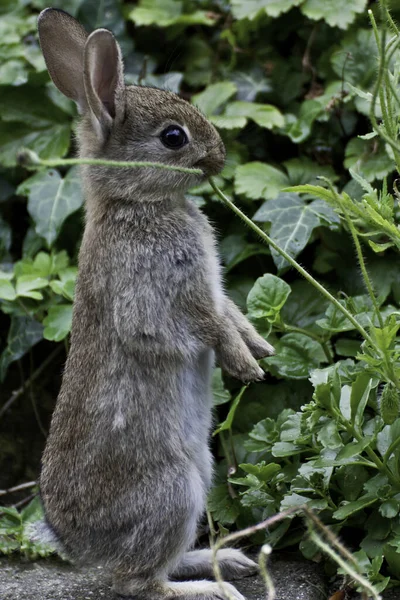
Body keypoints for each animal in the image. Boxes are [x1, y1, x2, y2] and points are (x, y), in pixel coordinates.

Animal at [37, 9, 276, 600]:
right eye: (173, 138)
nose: (219, 157)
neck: (134, 204)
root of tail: (81, 549)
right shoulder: (156, 295)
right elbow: (205, 325)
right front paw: (246, 365)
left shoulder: (213, 289)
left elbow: (230, 312)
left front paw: (261, 346)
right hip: (174, 488)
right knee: (141, 582)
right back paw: (217, 587)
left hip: (201, 474)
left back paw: (227, 560)